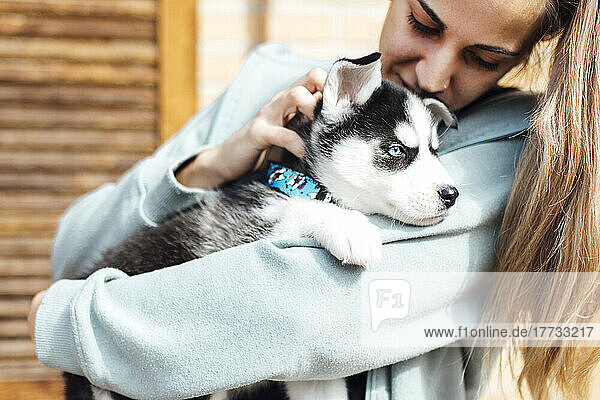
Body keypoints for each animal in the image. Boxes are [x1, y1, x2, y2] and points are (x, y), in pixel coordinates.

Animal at [63, 53, 460, 400]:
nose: (452, 194)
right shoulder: (240, 227)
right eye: (396, 150)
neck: (298, 180)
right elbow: (298, 210)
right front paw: (350, 226)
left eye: (434, 150)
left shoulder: (315, 375)